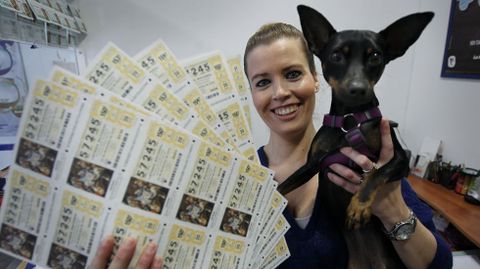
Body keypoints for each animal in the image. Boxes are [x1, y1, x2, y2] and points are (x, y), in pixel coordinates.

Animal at [276, 4, 434, 268]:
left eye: (375, 57)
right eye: (336, 56)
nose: (358, 89)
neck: (349, 121)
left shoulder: (400, 160)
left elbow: (376, 173)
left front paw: (358, 206)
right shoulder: (313, 164)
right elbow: (282, 186)